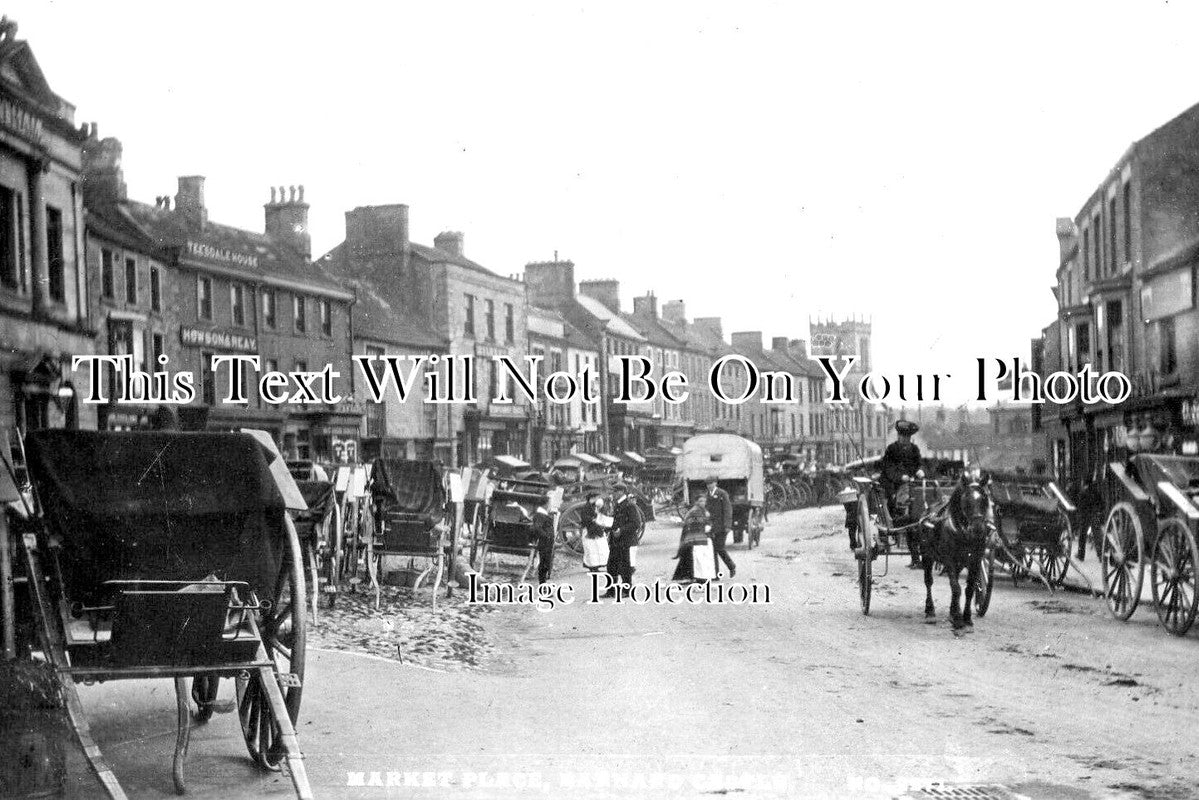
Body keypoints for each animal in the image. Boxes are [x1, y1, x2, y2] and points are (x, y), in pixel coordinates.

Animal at [916, 470, 992, 633]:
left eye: (984, 498)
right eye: (966, 500)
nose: (978, 529)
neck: (963, 532)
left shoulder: (975, 560)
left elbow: (969, 589)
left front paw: (967, 619)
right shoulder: (949, 559)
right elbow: (956, 588)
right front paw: (958, 620)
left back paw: (951, 612)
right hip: (927, 555)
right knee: (929, 582)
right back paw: (930, 612)